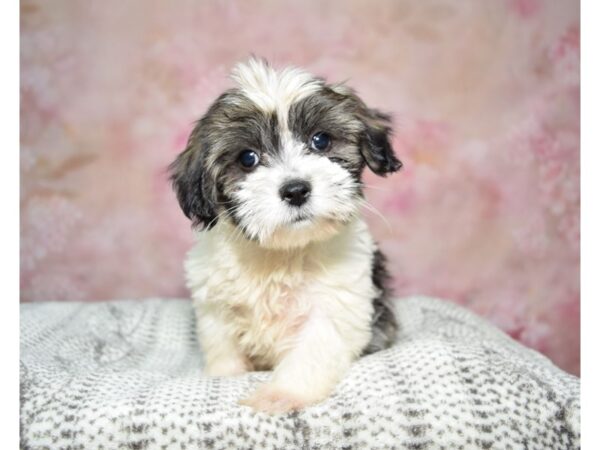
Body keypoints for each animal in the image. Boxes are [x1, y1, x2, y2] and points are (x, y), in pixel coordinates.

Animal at [170, 58, 404, 414]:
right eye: (248, 158)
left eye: (320, 141)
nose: (295, 190)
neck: (282, 253)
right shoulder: (214, 305)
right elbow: (222, 345)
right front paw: (225, 374)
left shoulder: (336, 306)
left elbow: (312, 353)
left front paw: (281, 394)